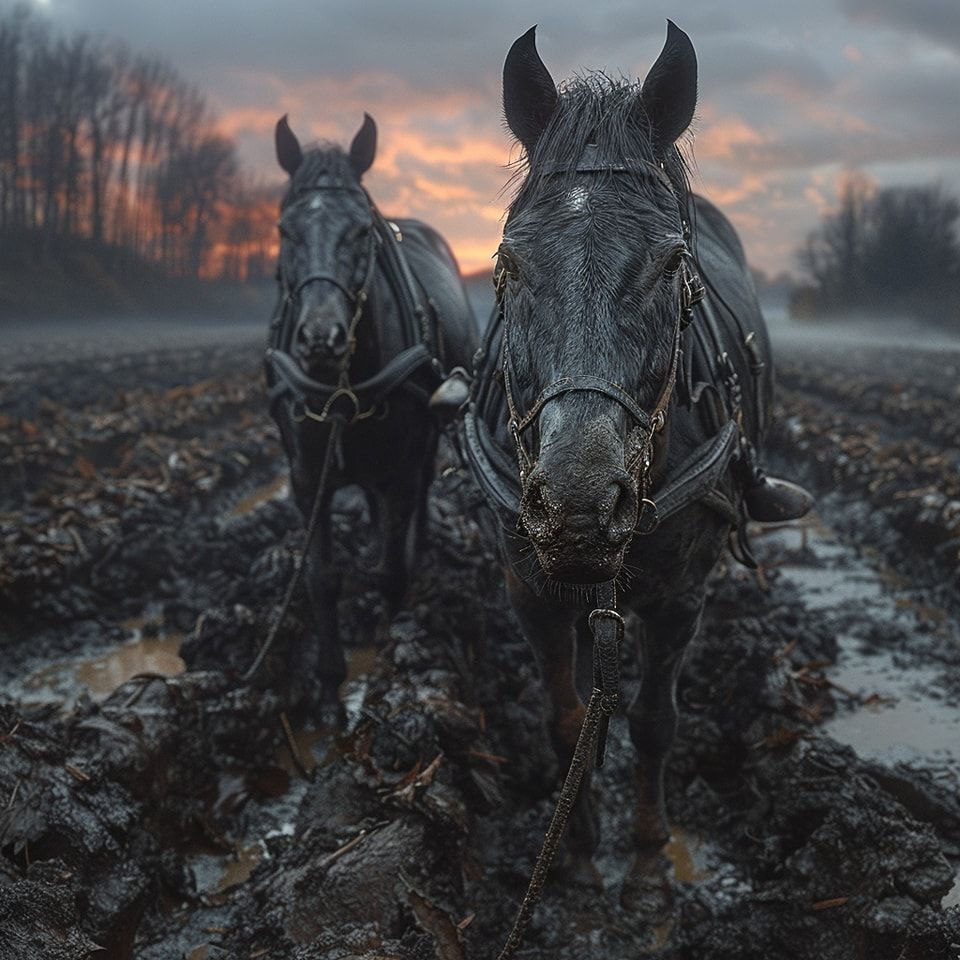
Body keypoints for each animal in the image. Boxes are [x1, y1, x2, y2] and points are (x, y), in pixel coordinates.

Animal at [268, 114, 478, 720]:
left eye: (362, 231)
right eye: (285, 230)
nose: (321, 338)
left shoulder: (401, 467)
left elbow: (391, 572)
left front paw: (391, 669)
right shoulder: (305, 476)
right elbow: (320, 579)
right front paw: (330, 689)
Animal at [462, 22, 808, 908]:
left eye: (671, 262)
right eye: (508, 263)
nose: (580, 507)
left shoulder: (683, 593)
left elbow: (656, 721)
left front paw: (650, 855)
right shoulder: (528, 587)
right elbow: (563, 717)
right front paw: (577, 847)